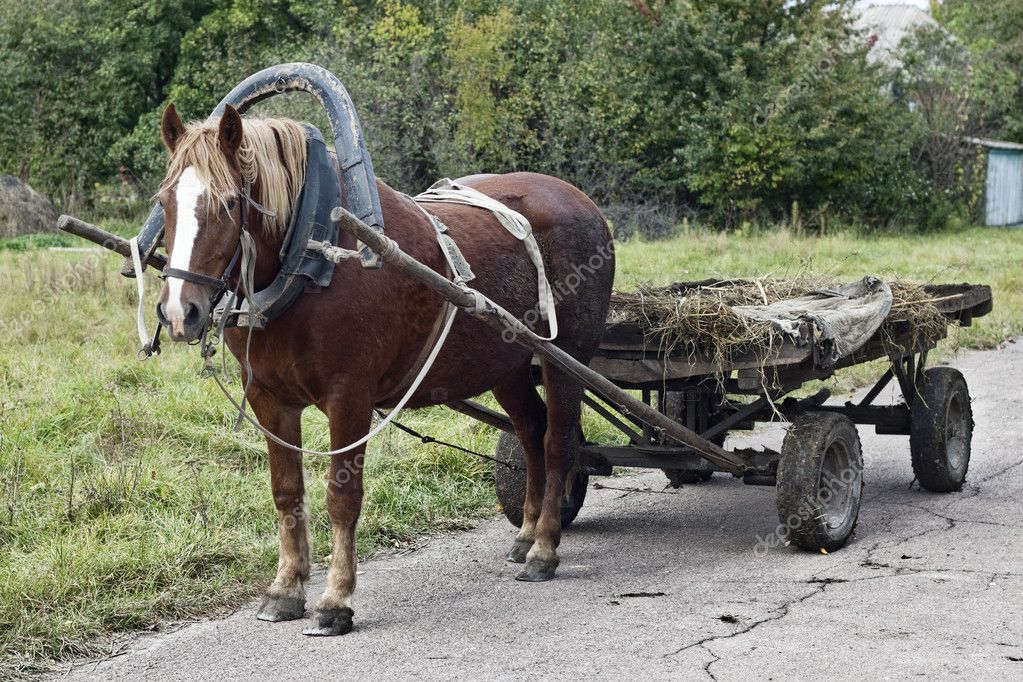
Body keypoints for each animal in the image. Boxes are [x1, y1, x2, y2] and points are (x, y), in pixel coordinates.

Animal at [155, 104, 609, 638]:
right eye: (164, 202)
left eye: (228, 203)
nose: (180, 312)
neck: (313, 259)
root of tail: (583, 202)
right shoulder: (270, 399)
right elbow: (286, 493)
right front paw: (286, 588)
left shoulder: (348, 398)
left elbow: (341, 497)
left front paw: (335, 599)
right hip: (510, 364)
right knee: (531, 431)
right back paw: (526, 534)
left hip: (566, 359)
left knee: (558, 441)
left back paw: (544, 548)